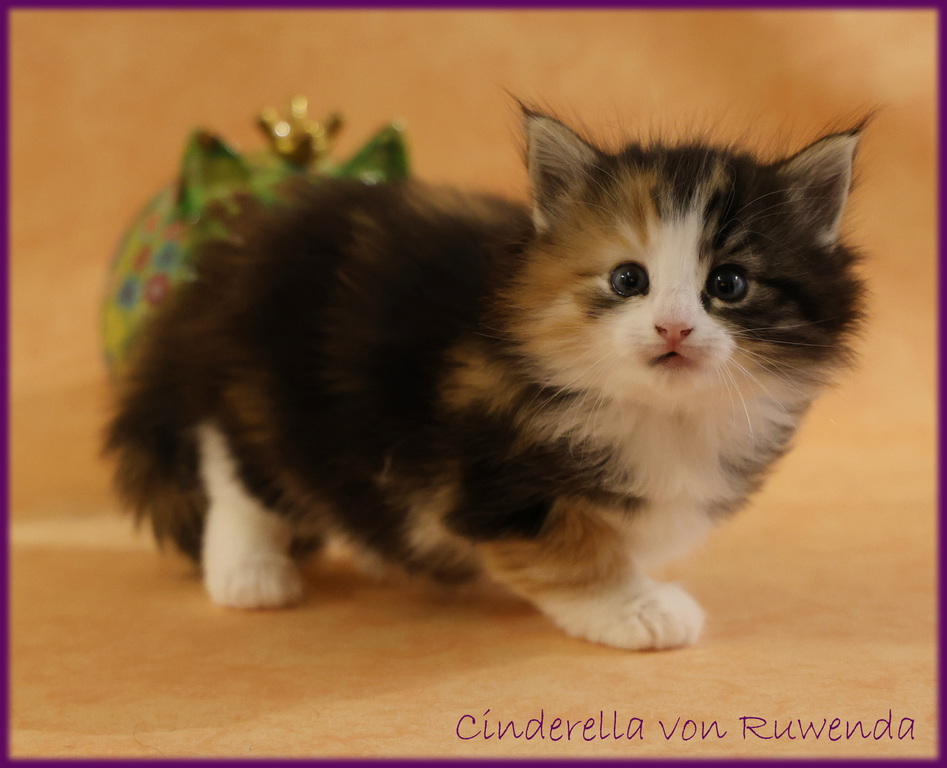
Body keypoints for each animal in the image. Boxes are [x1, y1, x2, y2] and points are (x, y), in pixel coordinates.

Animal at [104, 105, 866, 650]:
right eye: (629, 280)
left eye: (728, 284)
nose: (672, 330)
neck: (661, 414)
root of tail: (225, 266)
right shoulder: (491, 475)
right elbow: (569, 547)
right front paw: (635, 607)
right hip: (276, 394)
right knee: (234, 466)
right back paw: (250, 571)